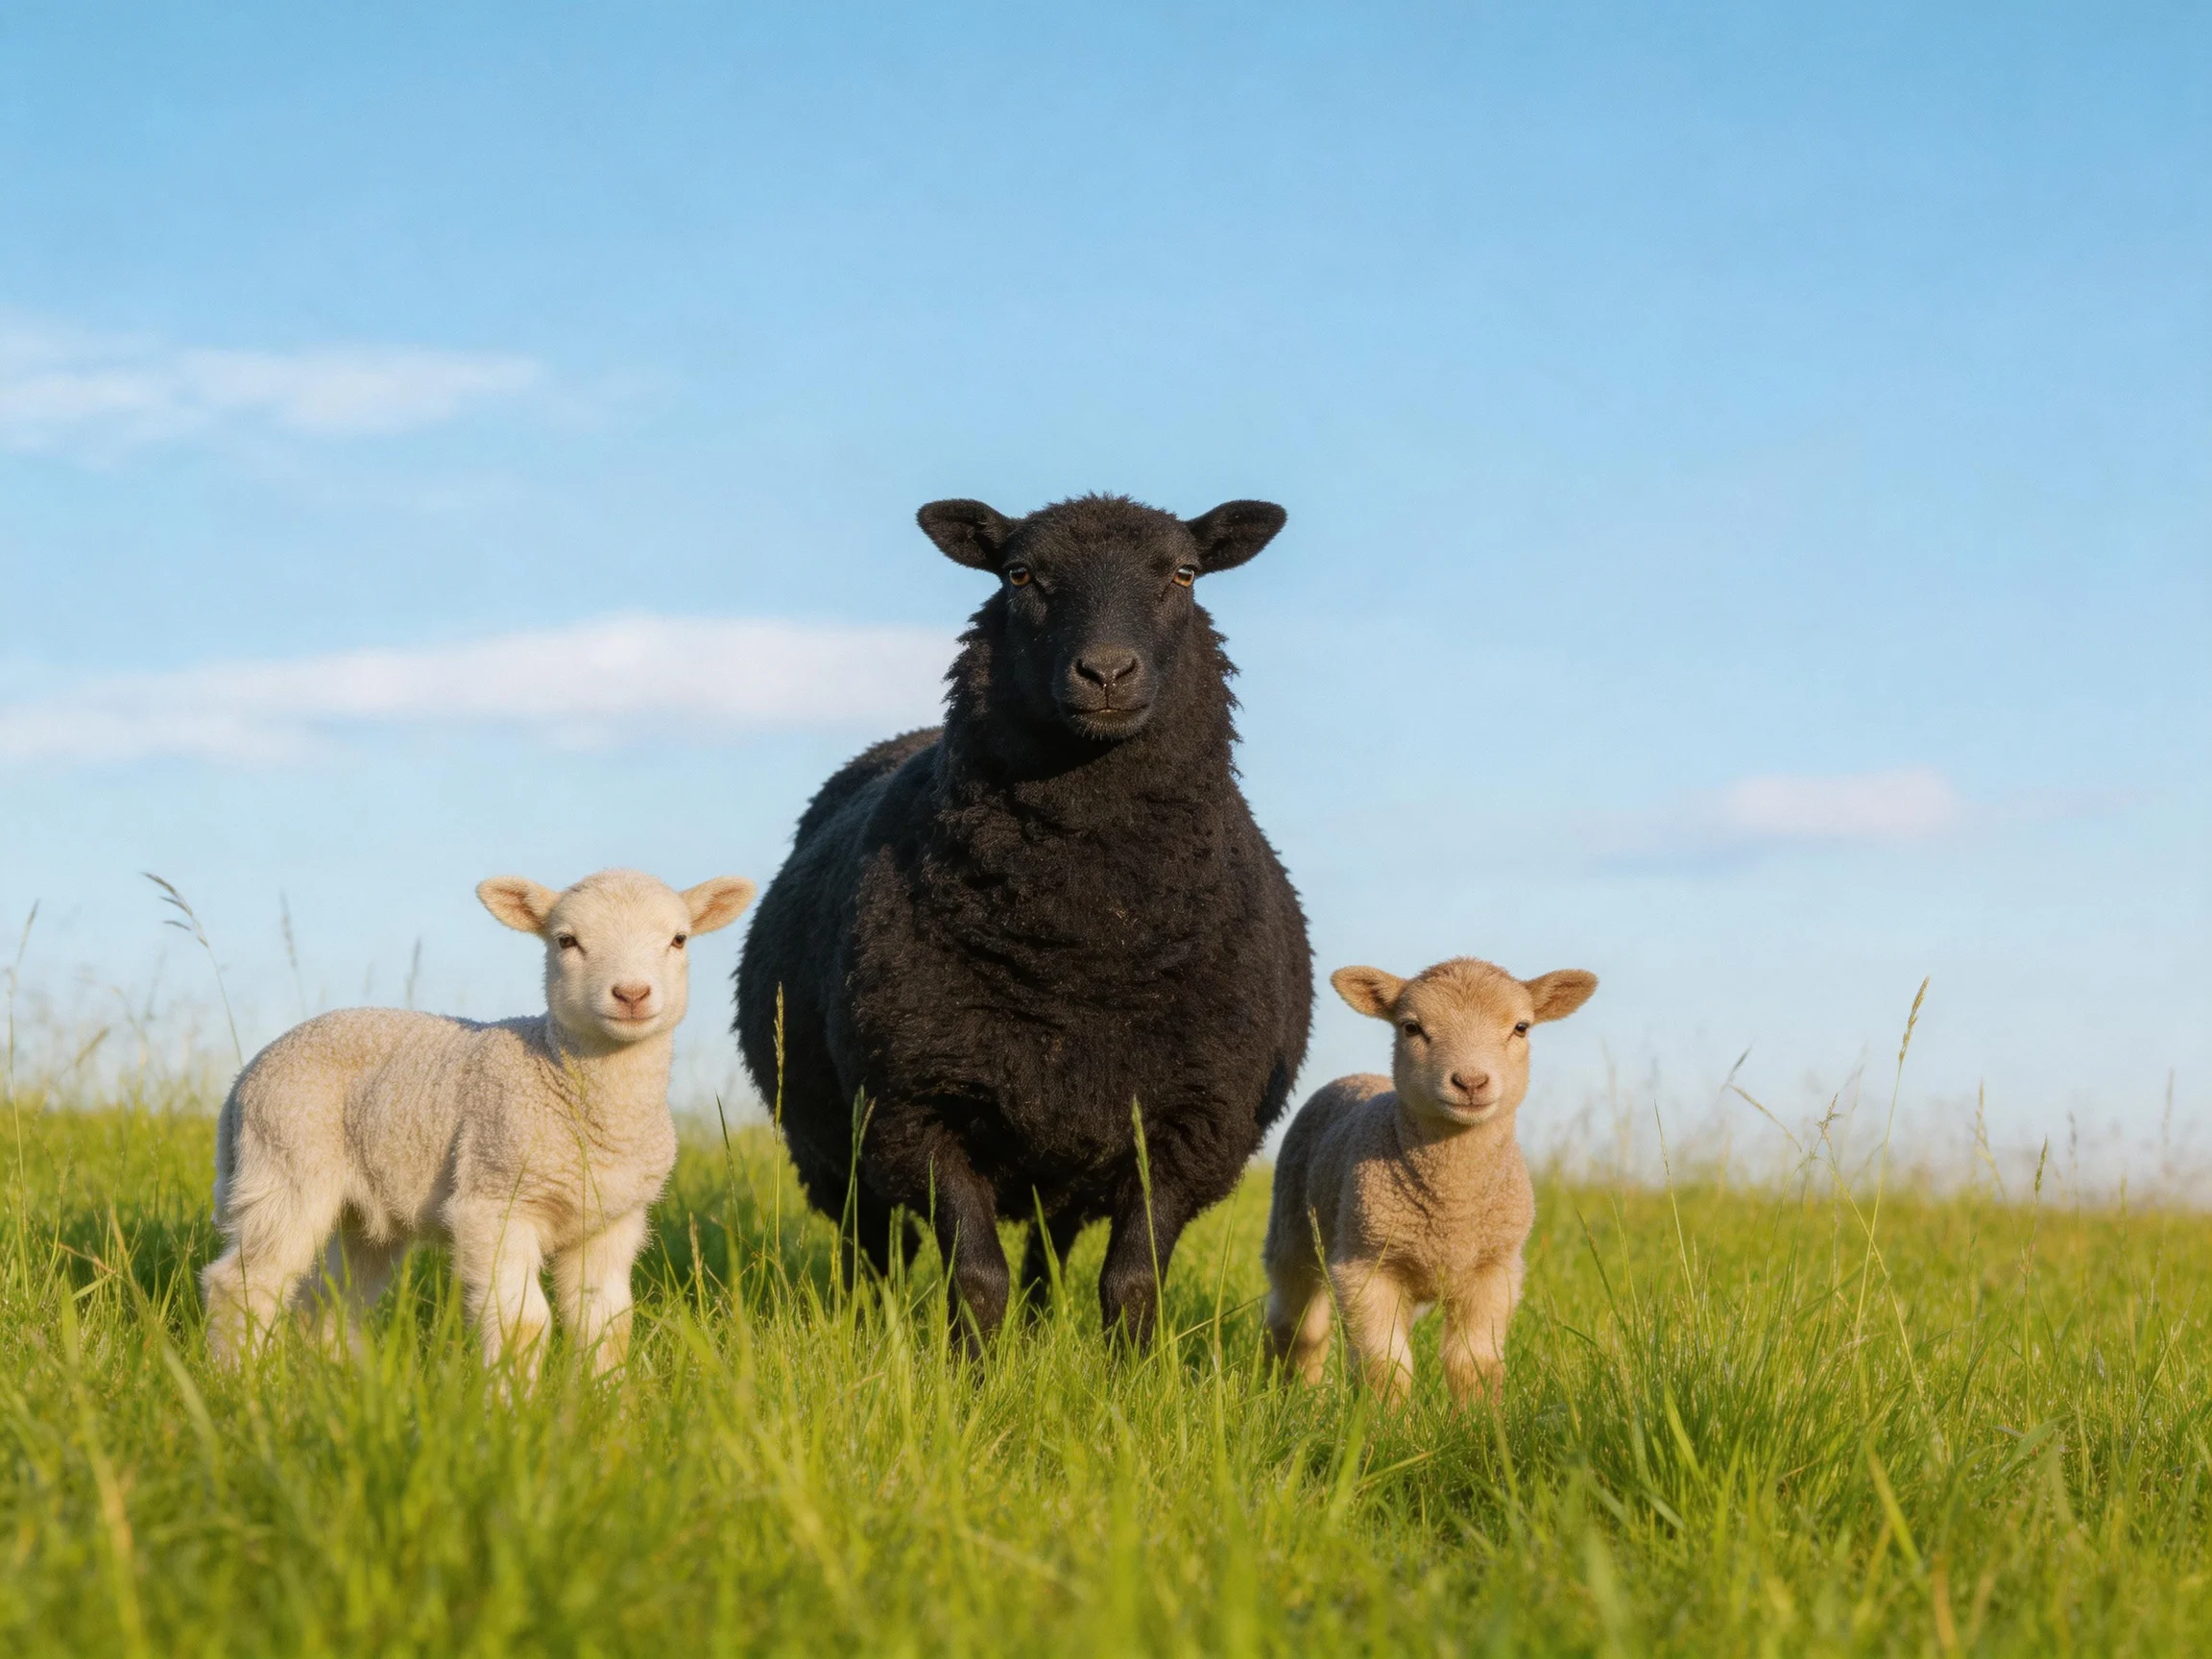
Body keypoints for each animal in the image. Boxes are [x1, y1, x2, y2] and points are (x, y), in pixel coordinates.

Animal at [200, 868, 756, 1373]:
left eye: (679, 939)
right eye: (566, 940)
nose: (633, 994)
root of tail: (242, 1081)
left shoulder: (611, 1222)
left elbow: (607, 1328)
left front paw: (607, 1409)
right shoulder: (495, 1202)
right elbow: (524, 1324)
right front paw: (512, 1406)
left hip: (363, 1211)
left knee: (327, 1301)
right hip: (287, 1165)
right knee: (245, 1284)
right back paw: (243, 1383)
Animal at [736, 493, 1312, 1351]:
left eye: (1185, 573)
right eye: (1018, 574)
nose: (1106, 672)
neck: (1086, 945)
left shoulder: (1190, 1126)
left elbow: (1131, 1282)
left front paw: (1127, 1376)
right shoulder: (917, 1106)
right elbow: (976, 1277)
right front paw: (972, 1371)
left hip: (1063, 1154)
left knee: (1048, 1249)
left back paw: (1039, 1336)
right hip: (832, 1147)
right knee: (869, 1248)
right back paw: (863, 1332)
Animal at [1263, 956, 1596, 1404]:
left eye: (1521, 1027)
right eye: (1411, 1027)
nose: (1471, 1082)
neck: (1453, 1206)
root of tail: (1355, 1077)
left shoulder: (1495, 1271)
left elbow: (1474, 1363)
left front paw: (1477, 1418)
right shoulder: (1365, 1266)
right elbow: (1385, 1365)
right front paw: (1385, 1421)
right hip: (1293, 1231)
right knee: (1297, 1327)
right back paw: (1292, 1399)